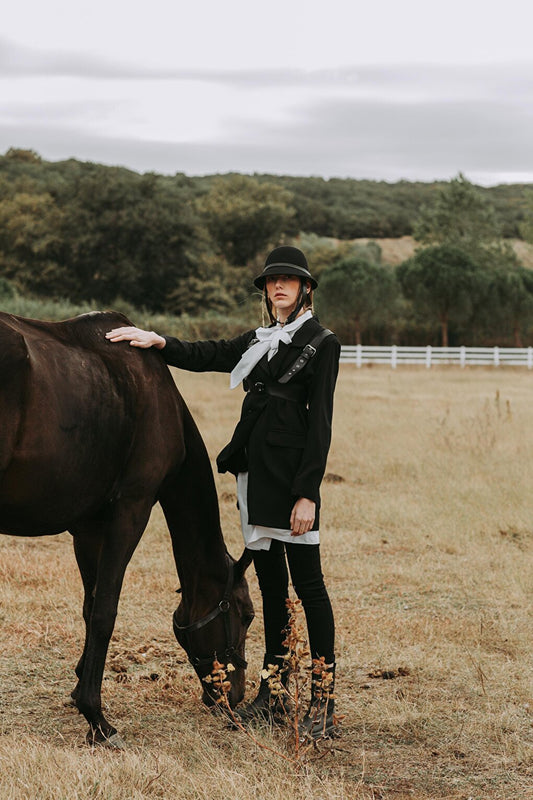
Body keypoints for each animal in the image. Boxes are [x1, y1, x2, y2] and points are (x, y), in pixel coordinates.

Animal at [0, 310, 254, 748]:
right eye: (247, 614)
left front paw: (79, 688)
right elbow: (105, 612)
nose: (234, 696)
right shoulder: (130, 512)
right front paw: (97, 719)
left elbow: (89, 608)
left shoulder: (88, 529)